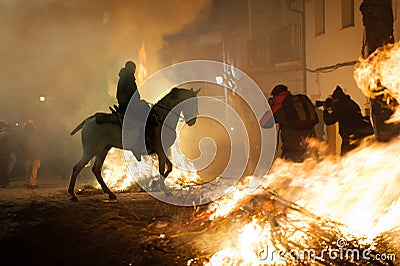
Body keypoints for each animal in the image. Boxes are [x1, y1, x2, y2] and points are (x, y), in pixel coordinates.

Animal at [69, 88, 200, 202]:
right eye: (193, 101)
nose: (193, 121)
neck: (162, 118)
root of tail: (88, 120)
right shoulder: (161, 150)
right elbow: (165, 169)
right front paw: (162, 188)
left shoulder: (163, 151)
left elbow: (167, 169)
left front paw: (157, 184)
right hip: (91, 150)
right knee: (77, 168)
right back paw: (73, 195)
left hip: (103, 149)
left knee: (96, 169)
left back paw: (110, 193)